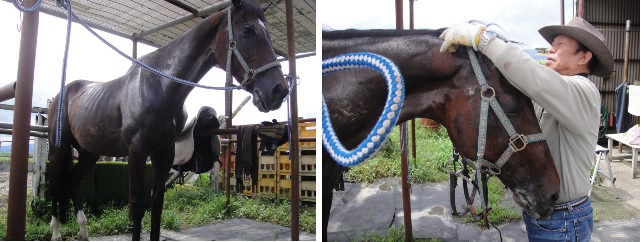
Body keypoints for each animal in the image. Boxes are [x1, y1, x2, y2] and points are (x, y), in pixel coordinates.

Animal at [46, 0, 286, 239]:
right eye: (247, 30)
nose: (279, 90)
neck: (160, 88)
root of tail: (62, 94)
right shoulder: (137, 151)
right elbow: (137, 206)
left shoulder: (164, 152)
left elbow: (157, 205)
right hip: (59, 148)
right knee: (55, 185)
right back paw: (56, 233)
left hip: (90, 153)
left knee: (73, 182)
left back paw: (83, 231)